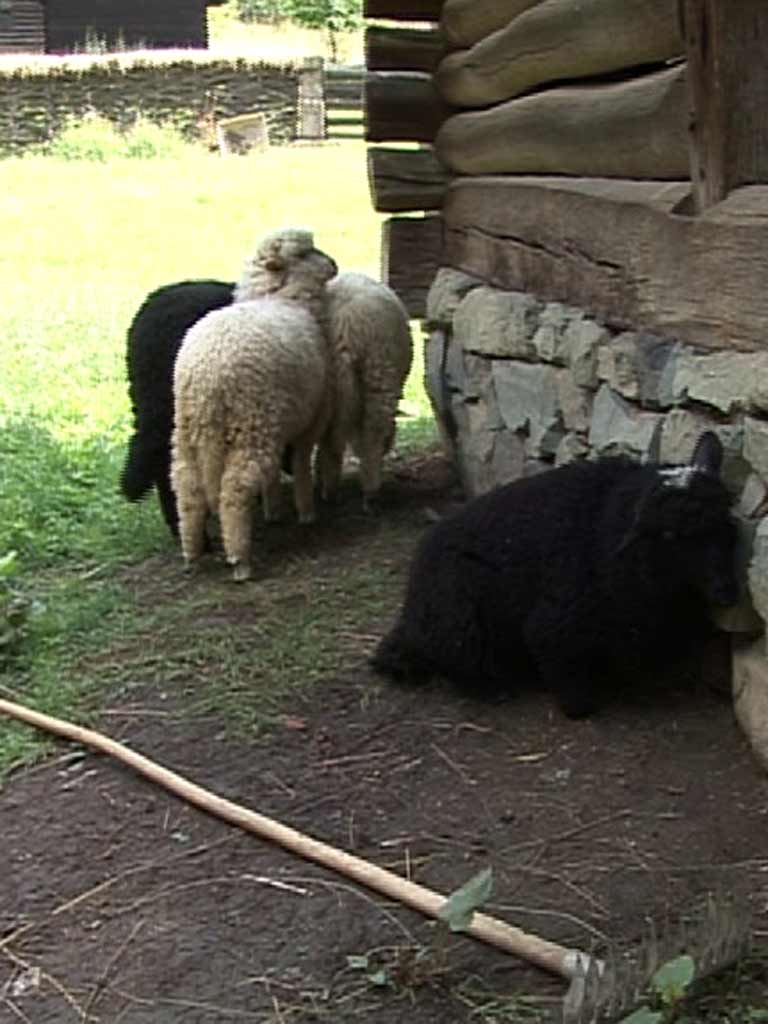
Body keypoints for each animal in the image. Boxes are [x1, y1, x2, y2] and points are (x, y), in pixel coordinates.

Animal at [171, 230, 339, 585]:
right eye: (303, 253)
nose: (334, 264)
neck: (281, 298)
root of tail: (207, 376)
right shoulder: (312, 417)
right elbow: (301, 462)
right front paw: (306, 511)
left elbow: (274, 472)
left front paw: (273, 510)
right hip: (253, 424)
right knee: (233, 490)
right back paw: (240, 560)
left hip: (186, 431)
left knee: (188, 487)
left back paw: (191, 555)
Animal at [319, 272, 415, 512]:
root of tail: (344, 323)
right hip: (379, 372)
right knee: (373, 433)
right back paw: (370, 493)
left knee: (331, 440)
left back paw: (328, 489)